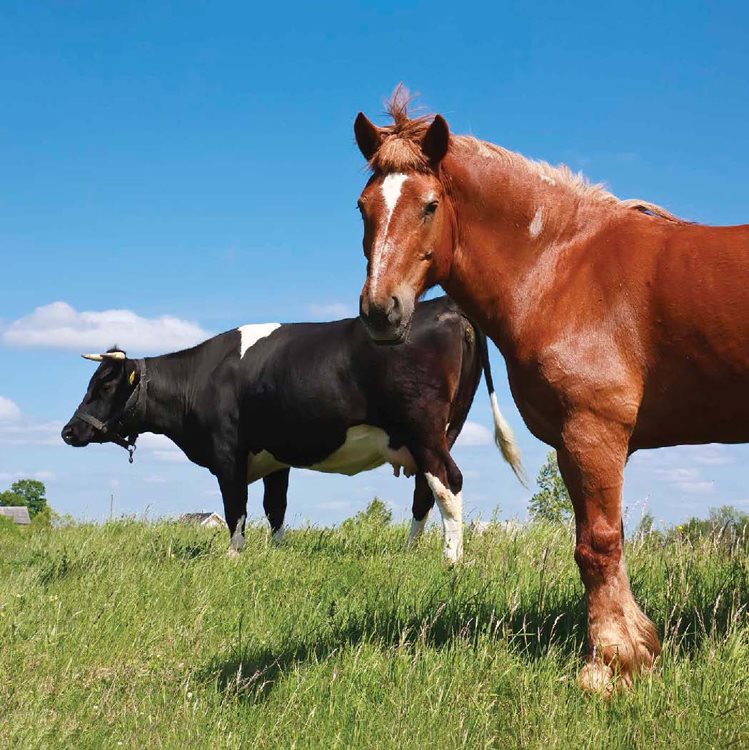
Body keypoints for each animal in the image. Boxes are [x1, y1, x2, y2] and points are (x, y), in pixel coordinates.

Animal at [61, 296, 520, 560]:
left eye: (104, 385)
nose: (68, 432)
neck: (201, 378)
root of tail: (447, 305)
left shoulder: (227, 456)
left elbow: (236, 510)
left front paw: (234, 558)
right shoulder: (274, 459)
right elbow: (275, 508)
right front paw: (277, 553)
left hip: (424, 429)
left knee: (449, 482)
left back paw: (450, 559)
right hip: (443, 430)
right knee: (426, 490)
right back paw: (408, 553)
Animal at [350, 88, 748, 692]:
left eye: (429, 206)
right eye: (363, 207)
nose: (380, 310)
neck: (563, 267)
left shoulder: (594, 432)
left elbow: (599, 544)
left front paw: (610, 664)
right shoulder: (572, 446)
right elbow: (598, 542)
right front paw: (637, 647)